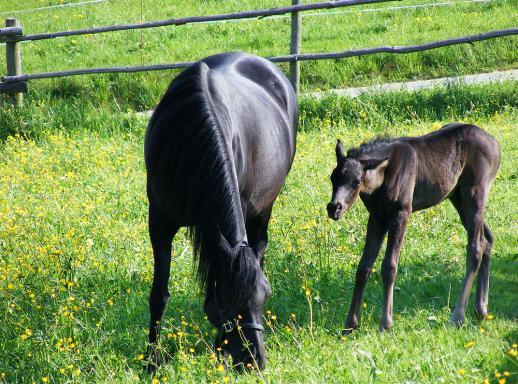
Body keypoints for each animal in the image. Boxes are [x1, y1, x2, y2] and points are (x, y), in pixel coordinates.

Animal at [146, 51, 298, 368]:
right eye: (228, 302)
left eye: (265, 295)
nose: (254, 360)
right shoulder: (159, 221)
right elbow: (159, 295)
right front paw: (150, 362)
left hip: (264, 208)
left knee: (260, 246)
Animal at [330, 122, 504, 330]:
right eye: (332, 178)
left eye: (357, 181)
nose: (334, 208)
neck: (382, 176)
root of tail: (495, 144)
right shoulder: (377, 217)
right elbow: (363, 267)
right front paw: (350, 324)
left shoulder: (401, 212)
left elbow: (389, 266)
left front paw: (386, 323)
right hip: (458, 198)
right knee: (487, 239)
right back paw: (481, 310)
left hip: (475, 193)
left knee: (476, 247)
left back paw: (458, 316)